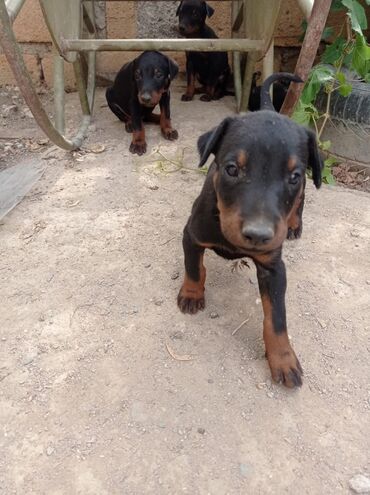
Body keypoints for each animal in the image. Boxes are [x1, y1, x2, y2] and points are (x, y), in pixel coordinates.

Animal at [178, 74, 322, 392]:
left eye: (292, 176)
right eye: (232, 169)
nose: (258, 235)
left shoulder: (274, 267)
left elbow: (276, 318)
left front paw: (283, 358)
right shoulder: (192, 234)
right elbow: (193, 267)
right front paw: (192, 293)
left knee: (304, 198)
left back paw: (294, 224)